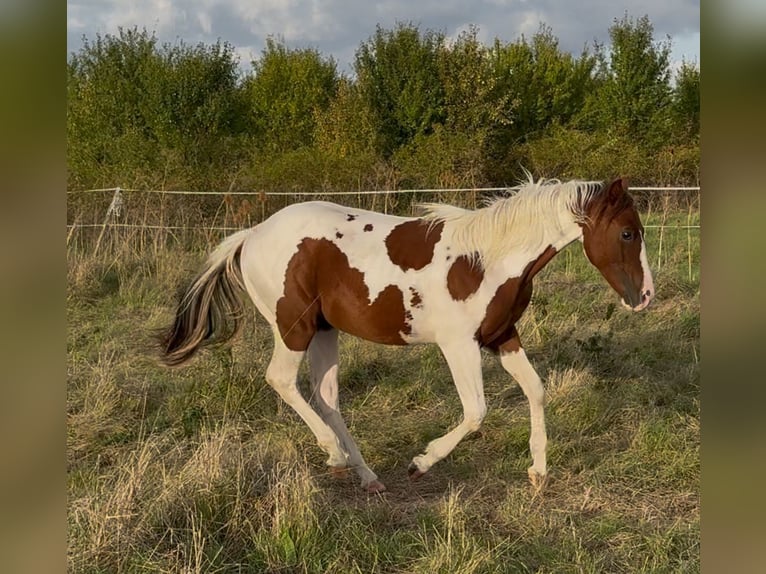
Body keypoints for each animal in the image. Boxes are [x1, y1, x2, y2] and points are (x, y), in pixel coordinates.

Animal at [160, 176, 654, 493]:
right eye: (628, 233)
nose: (645, 296)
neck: (488, 259)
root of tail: (250, 234)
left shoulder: (502, 336)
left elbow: (535, 390)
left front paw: (538, 471)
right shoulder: (458, 346)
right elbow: (476, 412)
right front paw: (420, 463)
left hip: (324, 331)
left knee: (326, 397)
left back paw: (366, 477)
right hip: (293, 329)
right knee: (281, 381)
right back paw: (336, 457)